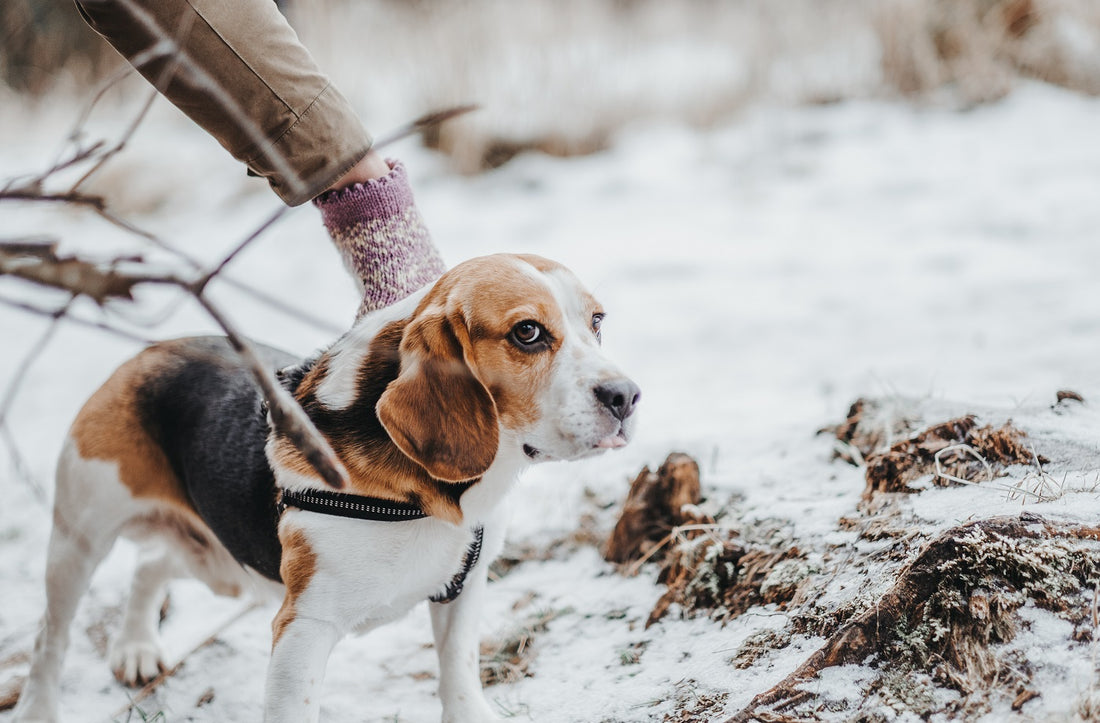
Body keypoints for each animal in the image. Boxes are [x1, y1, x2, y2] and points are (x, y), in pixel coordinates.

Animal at [15, 254, 638, 721]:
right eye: (527, 332)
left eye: (598, 321)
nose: (627, 396)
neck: (429, 501)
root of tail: (148, 352)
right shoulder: (303, 628)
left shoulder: (464, 589)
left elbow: (458, 675)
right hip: (79, 539)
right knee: (50, 638)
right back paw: (39, 707)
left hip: (223, 567)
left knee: (151, 565)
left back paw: (136, 648)